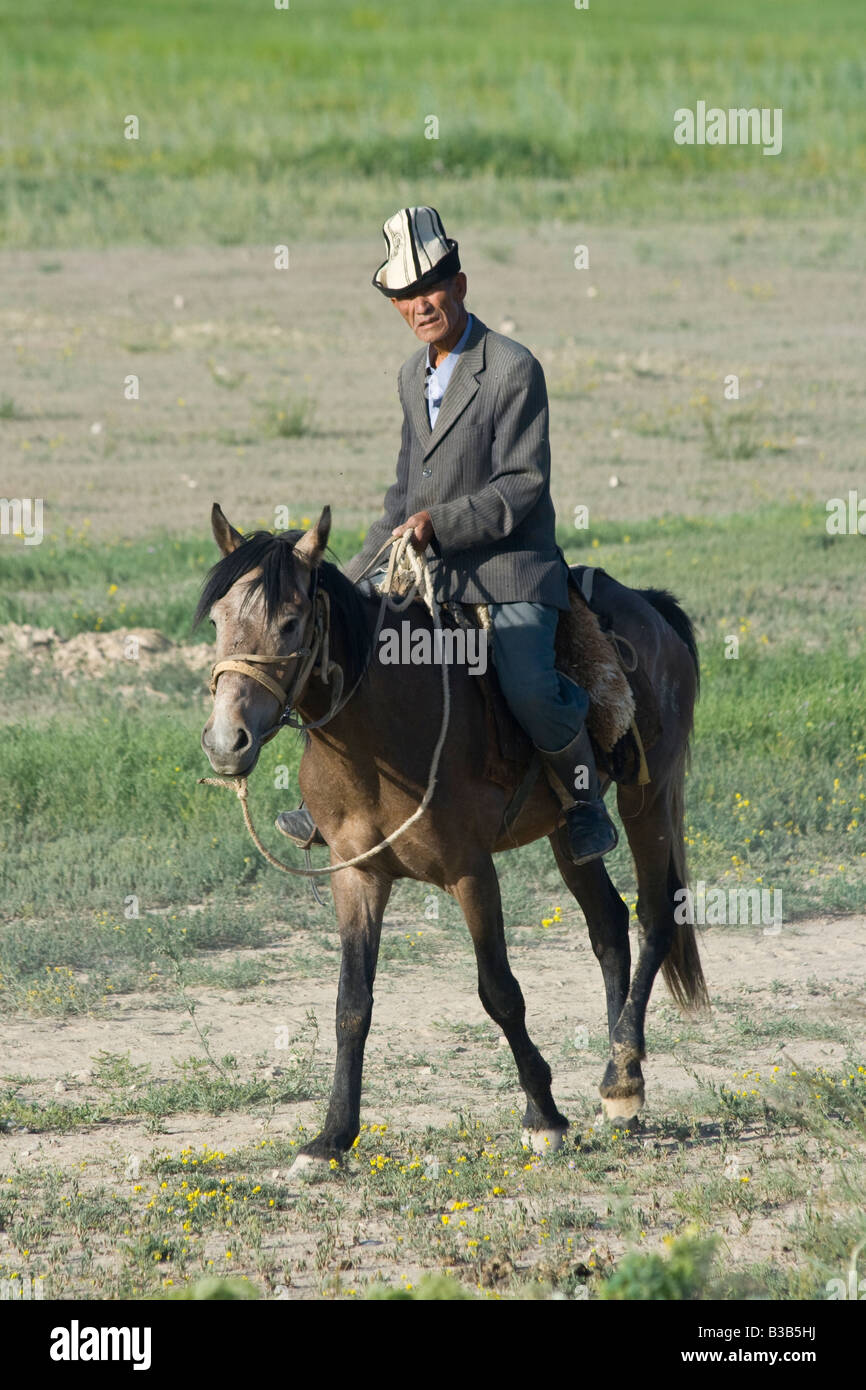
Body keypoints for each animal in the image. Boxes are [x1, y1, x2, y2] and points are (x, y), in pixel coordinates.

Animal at [195, 505, 706, 1167]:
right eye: (217, 620)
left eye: (290, 623)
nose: (225, 741)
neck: (382, 735)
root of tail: (650, 608)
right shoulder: (357, 875)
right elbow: (351, 1004)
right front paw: (332, 1138)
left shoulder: (471, 870)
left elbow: (500, 992)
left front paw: (543, 1116)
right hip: (569, 834)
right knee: (608, 926)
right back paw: (620, 1082)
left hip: (649, 797)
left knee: (655, 917)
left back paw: (623, 1081)